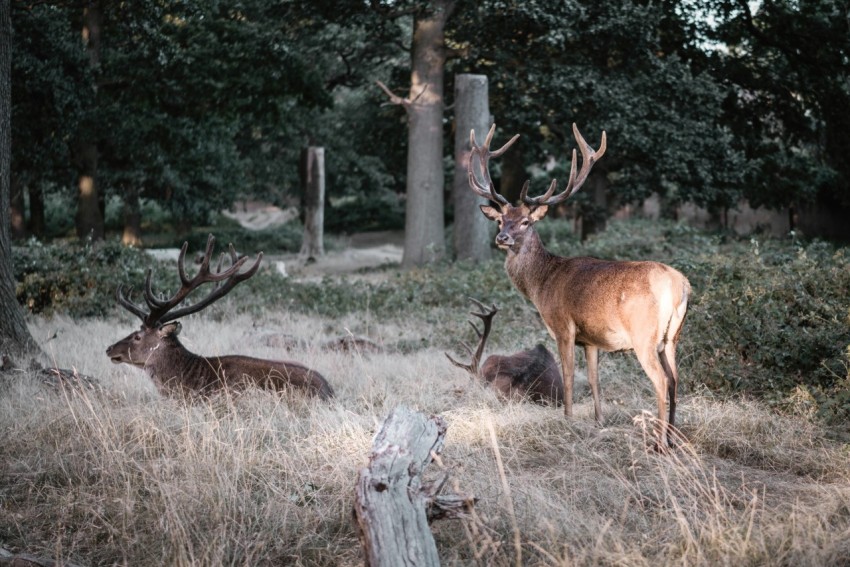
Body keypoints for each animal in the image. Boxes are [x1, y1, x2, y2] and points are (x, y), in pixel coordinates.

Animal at [468, 123, 692, 448]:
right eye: (500, 220)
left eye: (525, 222)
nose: (502, 238)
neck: (542, 284)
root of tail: (681, 286)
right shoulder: (592, 339)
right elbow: (595, 379)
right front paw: (598, 422)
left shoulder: (563, 326)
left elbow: (570, 377)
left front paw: (568, 421)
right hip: (672, 338)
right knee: (676, 379)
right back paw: (673, 438)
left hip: (644, 336)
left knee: (662, 381)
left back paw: (659, 443)